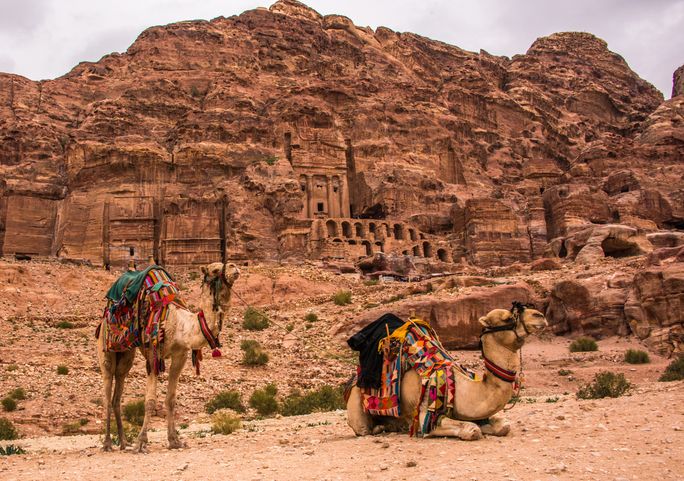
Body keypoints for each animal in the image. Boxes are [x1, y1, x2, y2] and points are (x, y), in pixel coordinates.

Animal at [96, 260, 239, 448]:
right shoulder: (153, 354)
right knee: (107, 385)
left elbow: (170, 400)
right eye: (215, 269)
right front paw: (141, 443)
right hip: (106, 344)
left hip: (127, 352)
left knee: (118, 383)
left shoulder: (180, 356)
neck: (180, 324)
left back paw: (123, 442)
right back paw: (107, 443)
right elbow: (150, 401)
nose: (234, 267)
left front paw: (174, 440)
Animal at [350, 304, 548, 438]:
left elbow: (504, 425)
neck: (462, 388)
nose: (540, 315)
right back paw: (380, 428)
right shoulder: (425, 413)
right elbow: (472, 429)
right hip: (357, 406)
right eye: (508, 318)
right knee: (363, 428)